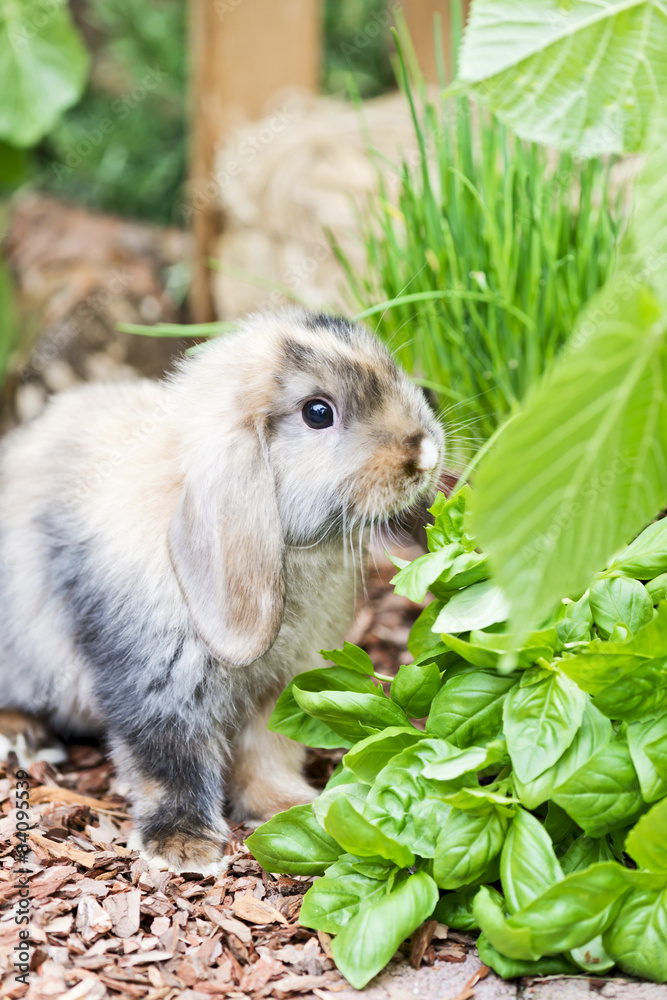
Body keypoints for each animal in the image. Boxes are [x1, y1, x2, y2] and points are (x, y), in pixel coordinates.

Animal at [0, 309, 444, 874]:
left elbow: (268, 753)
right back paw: (21, 735)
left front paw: (293, 806)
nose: (426, 452)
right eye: (318, 413)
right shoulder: (157, 689)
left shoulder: (280, 692)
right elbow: (168, 765)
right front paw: (187, 848)